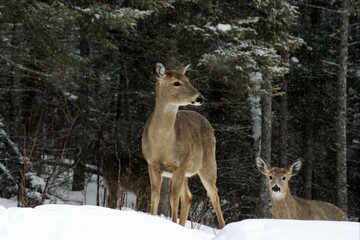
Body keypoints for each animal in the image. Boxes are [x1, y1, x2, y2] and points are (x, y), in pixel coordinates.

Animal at [141, 62, 224, 228]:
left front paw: (173, 223)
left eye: (188, 79)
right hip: (187, 171)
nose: (200, 98)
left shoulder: (179, 165)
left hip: (208, 163)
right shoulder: (152, 164)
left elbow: (173, 199)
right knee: (188, 197)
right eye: (176, 83)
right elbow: (155, 196)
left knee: (214, 195)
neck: (162, 144)